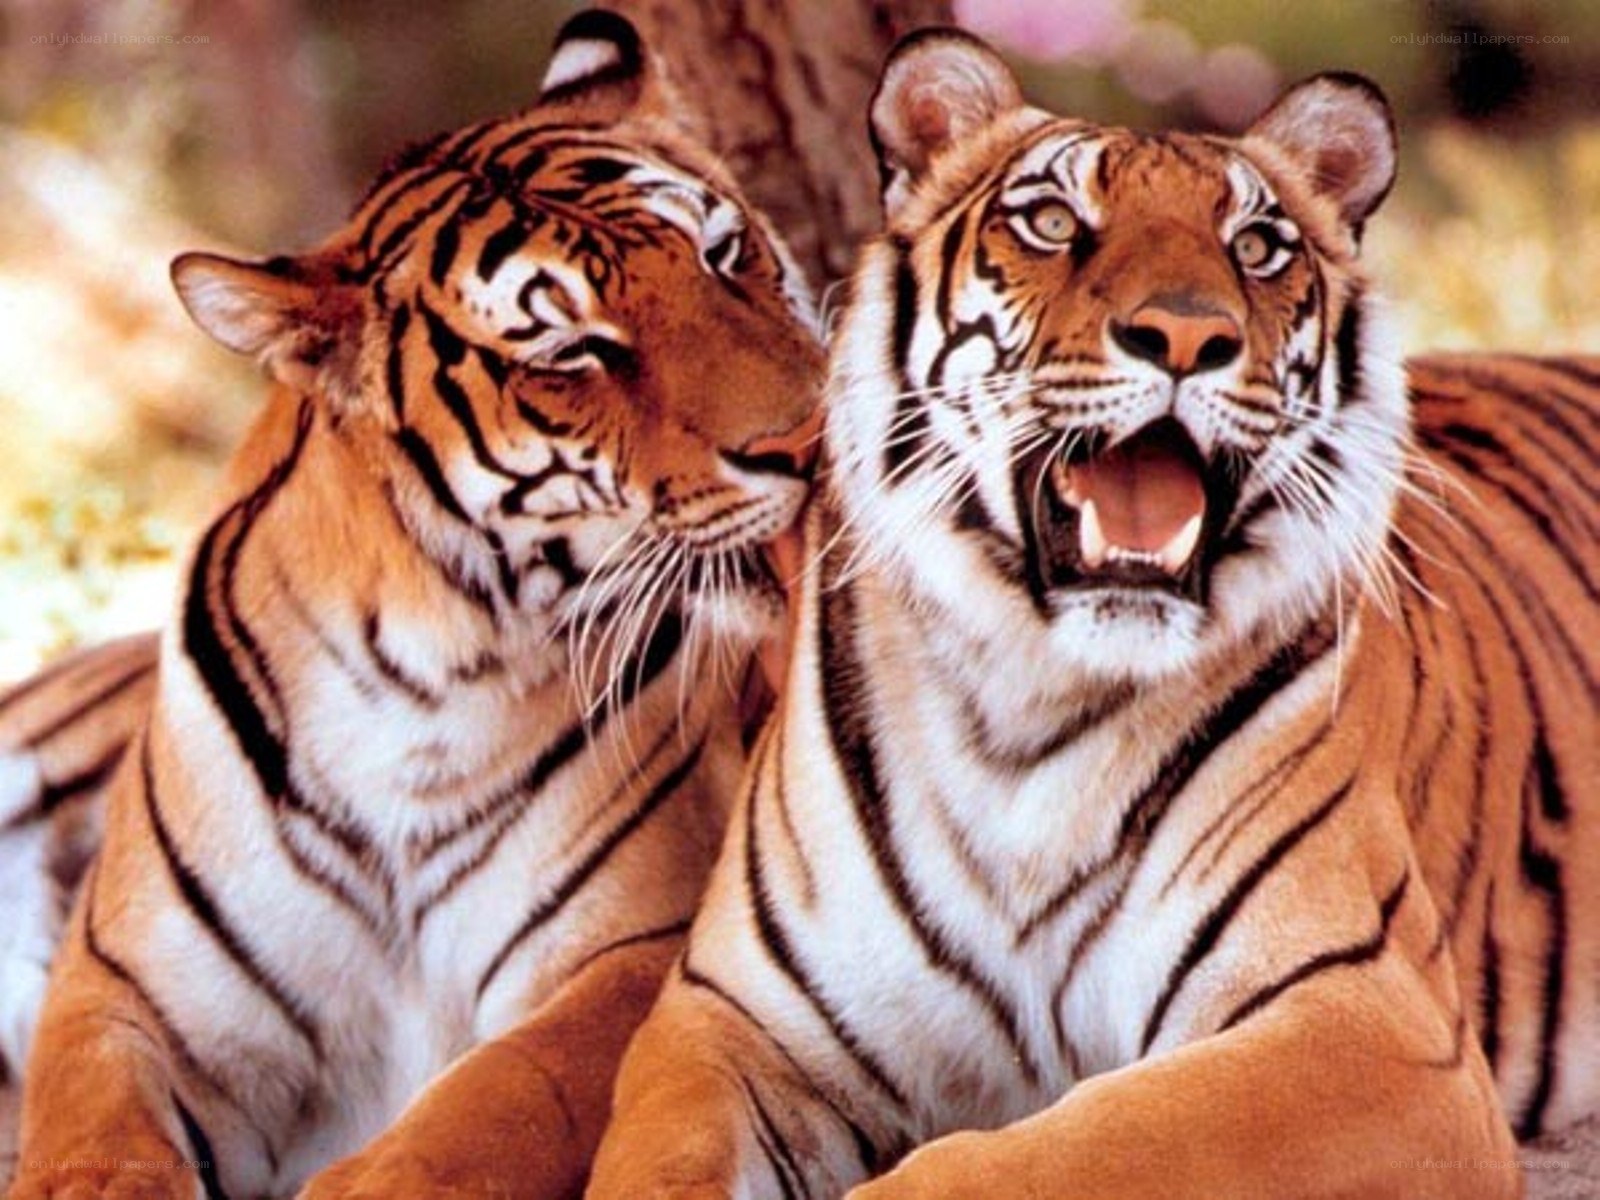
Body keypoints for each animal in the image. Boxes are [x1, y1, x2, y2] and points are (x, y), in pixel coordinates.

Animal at [9, 9, 824, 1198]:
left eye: (723, 256)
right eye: (573, 354)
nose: (812, 442)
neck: (417, 676)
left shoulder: (634, 952)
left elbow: (481, 1108)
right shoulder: (127, 993)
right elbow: (90, 1151)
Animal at [588, 28, 1598, 1200]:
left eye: (1257, 246)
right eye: (1053, 223)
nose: (1186, 337)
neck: (1029, 700)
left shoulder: (1370, 1023)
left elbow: (1059, 1148)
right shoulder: (726, 1024)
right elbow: (658, 1164)